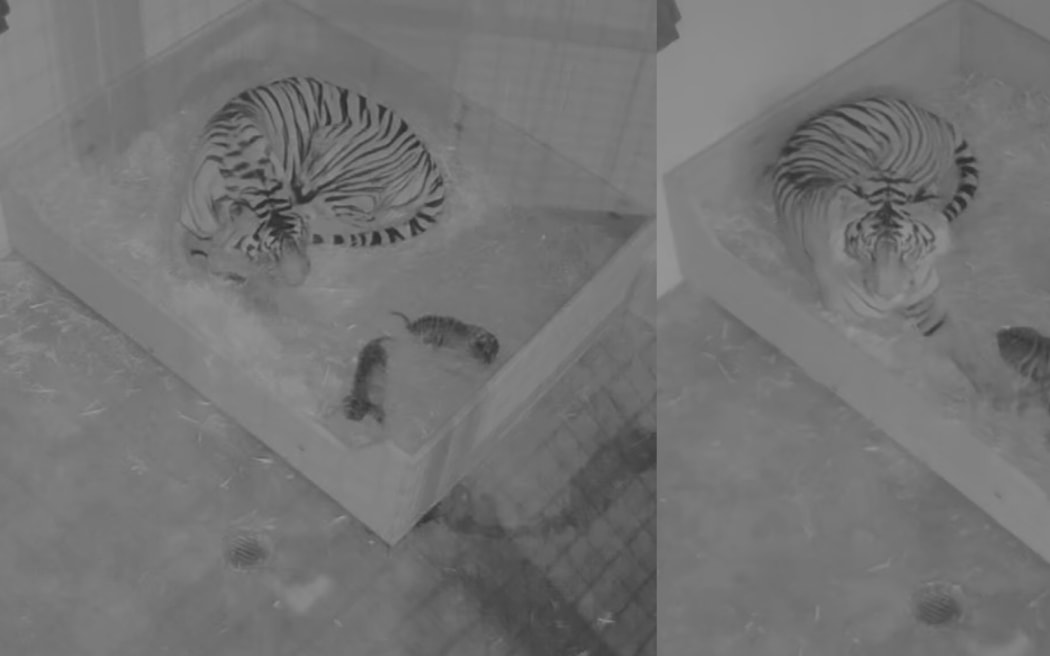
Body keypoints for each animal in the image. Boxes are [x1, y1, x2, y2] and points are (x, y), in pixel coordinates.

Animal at [177, 75, 447, 286]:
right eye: (269, 251)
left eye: (301, 240)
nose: (299, 281)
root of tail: (429, 164)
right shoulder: (195, 219)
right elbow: (191, 248)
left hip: (338, 170)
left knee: (362, 223)